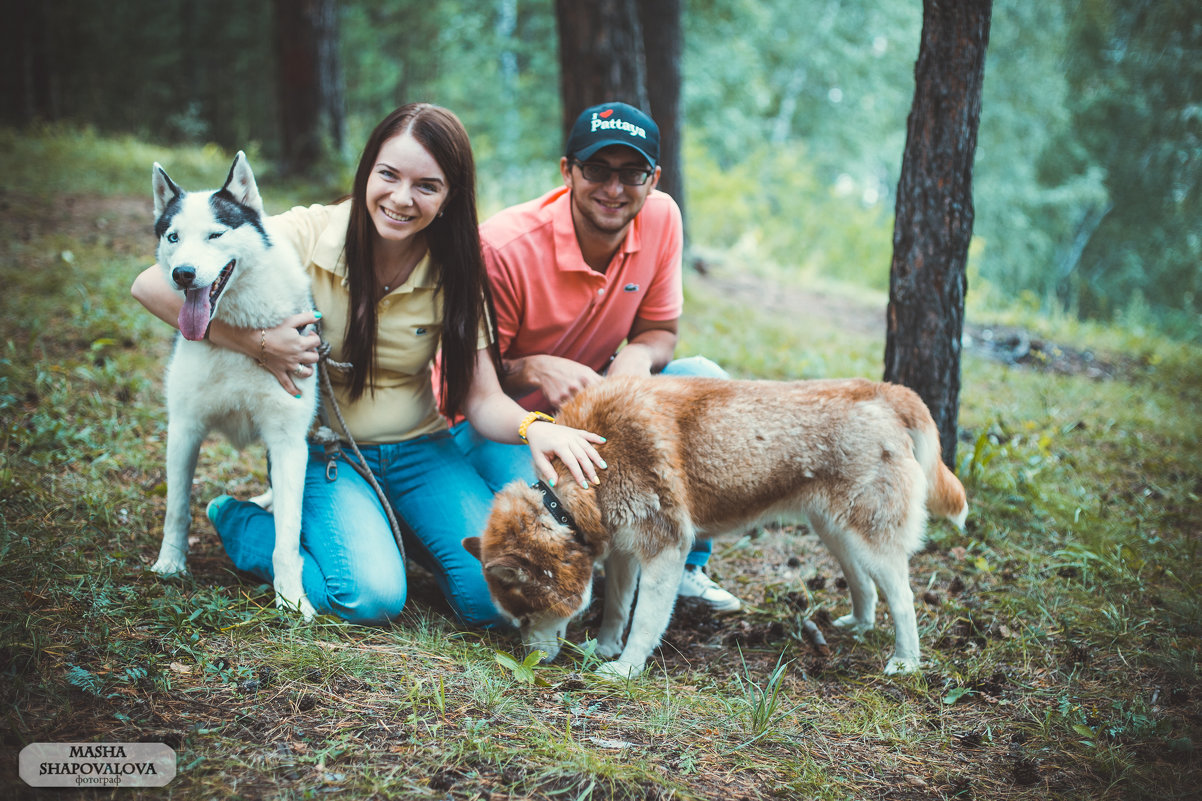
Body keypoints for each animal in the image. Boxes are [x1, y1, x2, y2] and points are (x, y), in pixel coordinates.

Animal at [148, 151, 319, 615]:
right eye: (173, 237)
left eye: (215, 234)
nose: (183, 274)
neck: (244, 333)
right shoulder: (184, 428)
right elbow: (177, 509)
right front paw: (170, 563)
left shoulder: (288, 441)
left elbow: (286, 538)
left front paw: (292, 598)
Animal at [463, 375, 971, 673]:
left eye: (525, 616)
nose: (525, 661)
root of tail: (884, 388)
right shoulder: (625, 549)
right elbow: (616, 608)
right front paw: (605, 648)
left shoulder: (666, 548)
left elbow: (644, 620)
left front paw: (624, 669)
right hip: (836, 530)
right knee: (862, 583)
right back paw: (859, 625)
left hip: (870, 536)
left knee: (903, 599)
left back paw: (905, 661)